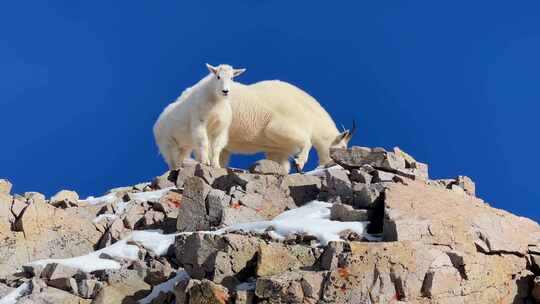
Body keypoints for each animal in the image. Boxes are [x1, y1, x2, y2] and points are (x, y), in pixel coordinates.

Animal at [221, 79, 356, 172]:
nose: (332, 164)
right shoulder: (279, 126)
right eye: (343, 147)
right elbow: (306, 142)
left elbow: (281, 163)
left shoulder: (278, 150)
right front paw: (299, 163)